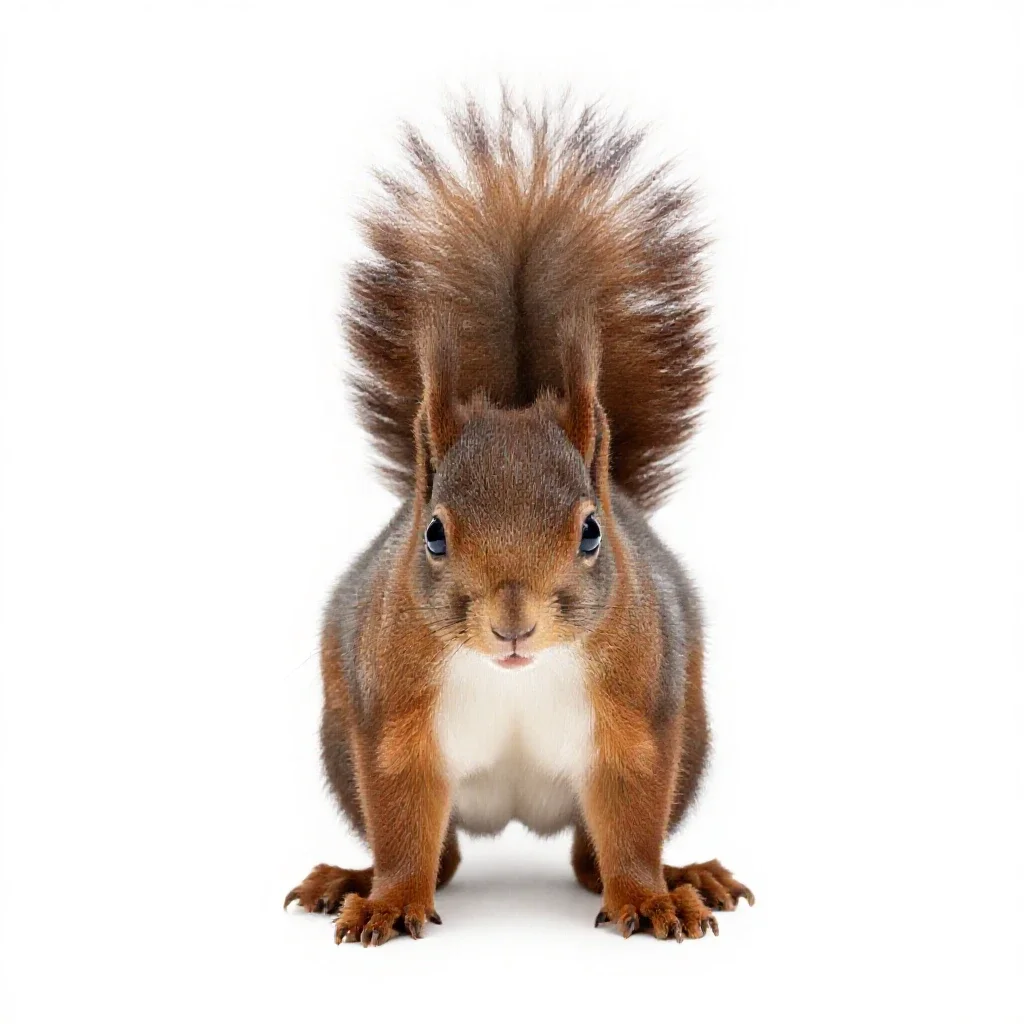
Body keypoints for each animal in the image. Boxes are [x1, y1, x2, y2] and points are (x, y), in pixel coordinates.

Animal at [284, 97, 753, 946]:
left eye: (592, 531)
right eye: (433, 534)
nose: (513, 622)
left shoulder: (639, 710)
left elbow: (632, 819)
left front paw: (653, 896)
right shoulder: (391, 715)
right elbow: (401, 821)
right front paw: (388, 900)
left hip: (692, 733)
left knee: (588, 860)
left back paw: (685, 875)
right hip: (340, 743)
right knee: (444, 859)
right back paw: (351, 880)